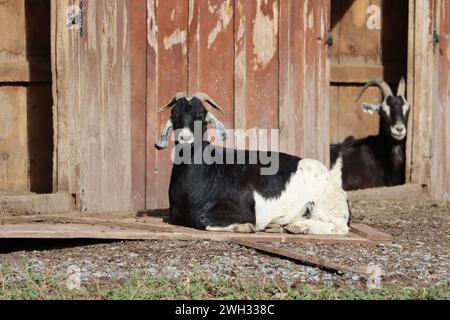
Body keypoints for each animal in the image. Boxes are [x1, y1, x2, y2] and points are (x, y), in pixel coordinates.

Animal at [155, 92, 352, 235]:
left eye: (200, 115)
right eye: (174, 114)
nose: (184, 137)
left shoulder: (244, 212)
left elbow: (202, 219)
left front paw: (244, 227)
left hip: (327, 205)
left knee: (340, 228)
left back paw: (299, 227)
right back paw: (286, 225)